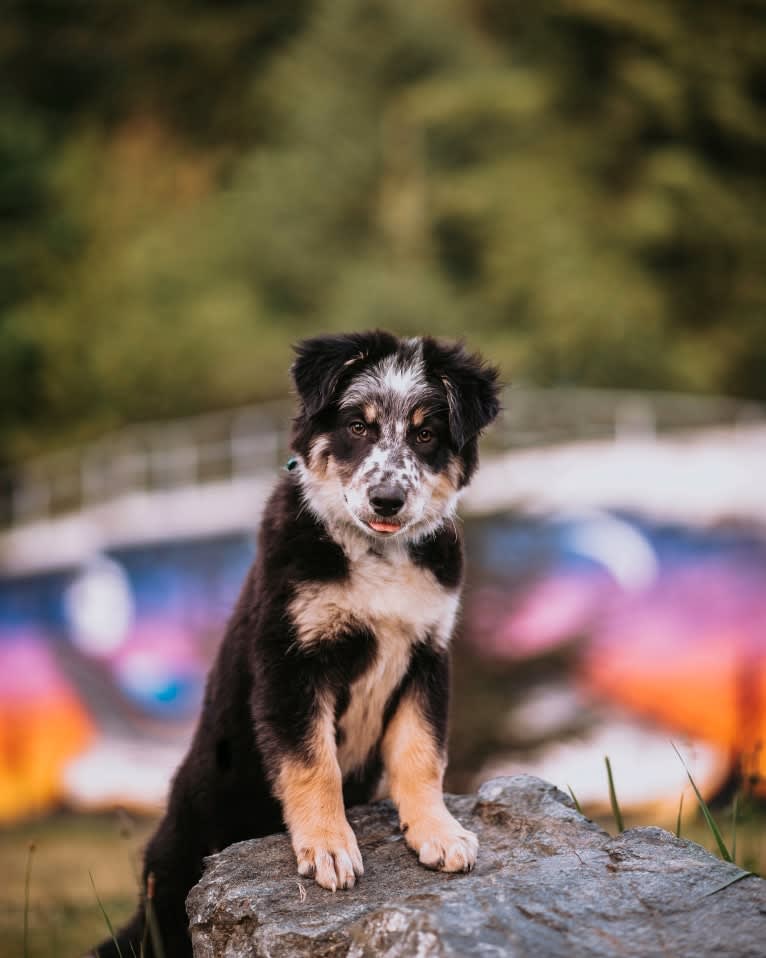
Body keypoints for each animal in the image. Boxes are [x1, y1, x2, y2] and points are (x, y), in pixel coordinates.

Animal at [93, 332, 500, 958]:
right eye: (358, 425)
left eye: (426, 435)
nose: (386, 500)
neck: (375, 555)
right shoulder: (291, 660)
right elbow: (314, 764)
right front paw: (330, 848)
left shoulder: (427, 658)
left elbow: (421, 754)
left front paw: (438, 832)